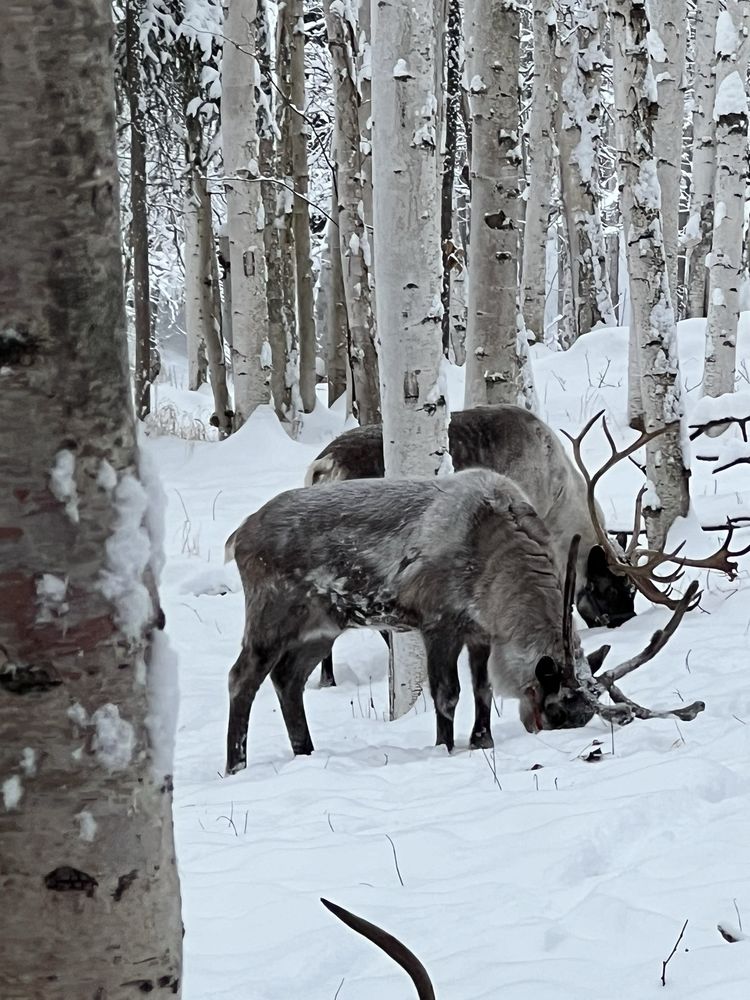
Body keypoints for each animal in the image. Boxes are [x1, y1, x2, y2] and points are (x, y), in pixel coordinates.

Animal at [223, 468, 704, 774]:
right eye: (559, 709)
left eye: (582, 717)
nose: (539, 730)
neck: (498, 566)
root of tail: (240, 534)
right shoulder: (438, 621)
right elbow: (447, 694)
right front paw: (445, 747)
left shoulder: (481, 632)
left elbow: (483, 689)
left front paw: (481, 741)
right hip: (272, 612)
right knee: (242, 676)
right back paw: (236, 764)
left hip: (322, 626)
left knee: (287, 679)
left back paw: (304, 752)